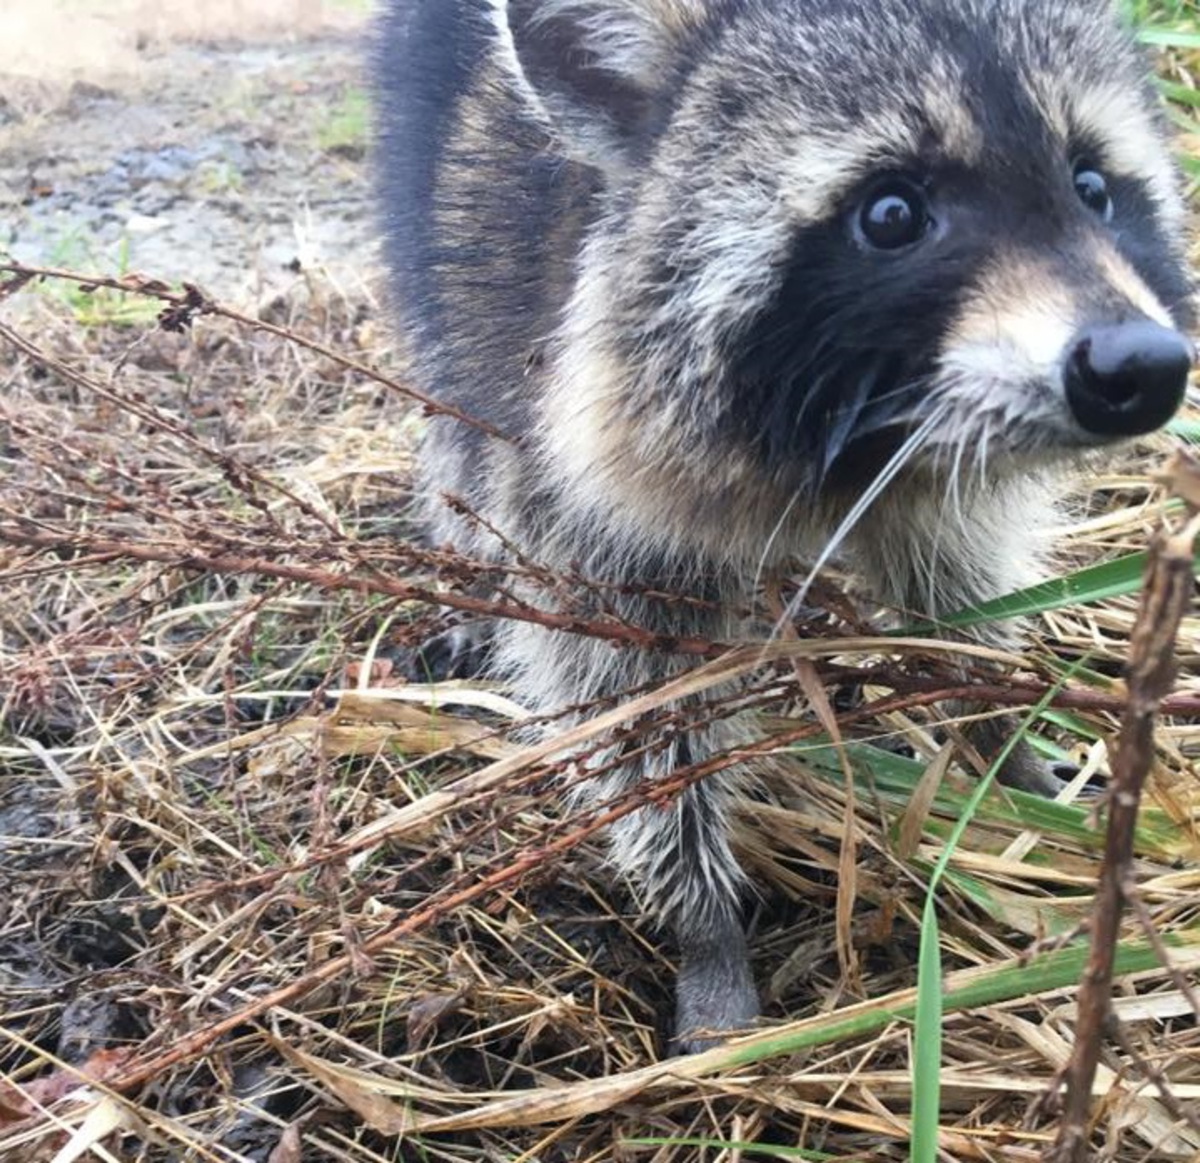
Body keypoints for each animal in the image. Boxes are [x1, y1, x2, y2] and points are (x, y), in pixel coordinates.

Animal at [372, 0, 1190, 1046]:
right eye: (890, 214)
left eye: (1094, 187)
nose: (1141, 366)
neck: (862, 439)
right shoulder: (556, 433)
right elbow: (632, 703)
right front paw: (703, 922)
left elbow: (958, 594)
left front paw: (1004, 739)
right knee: (452, 414)